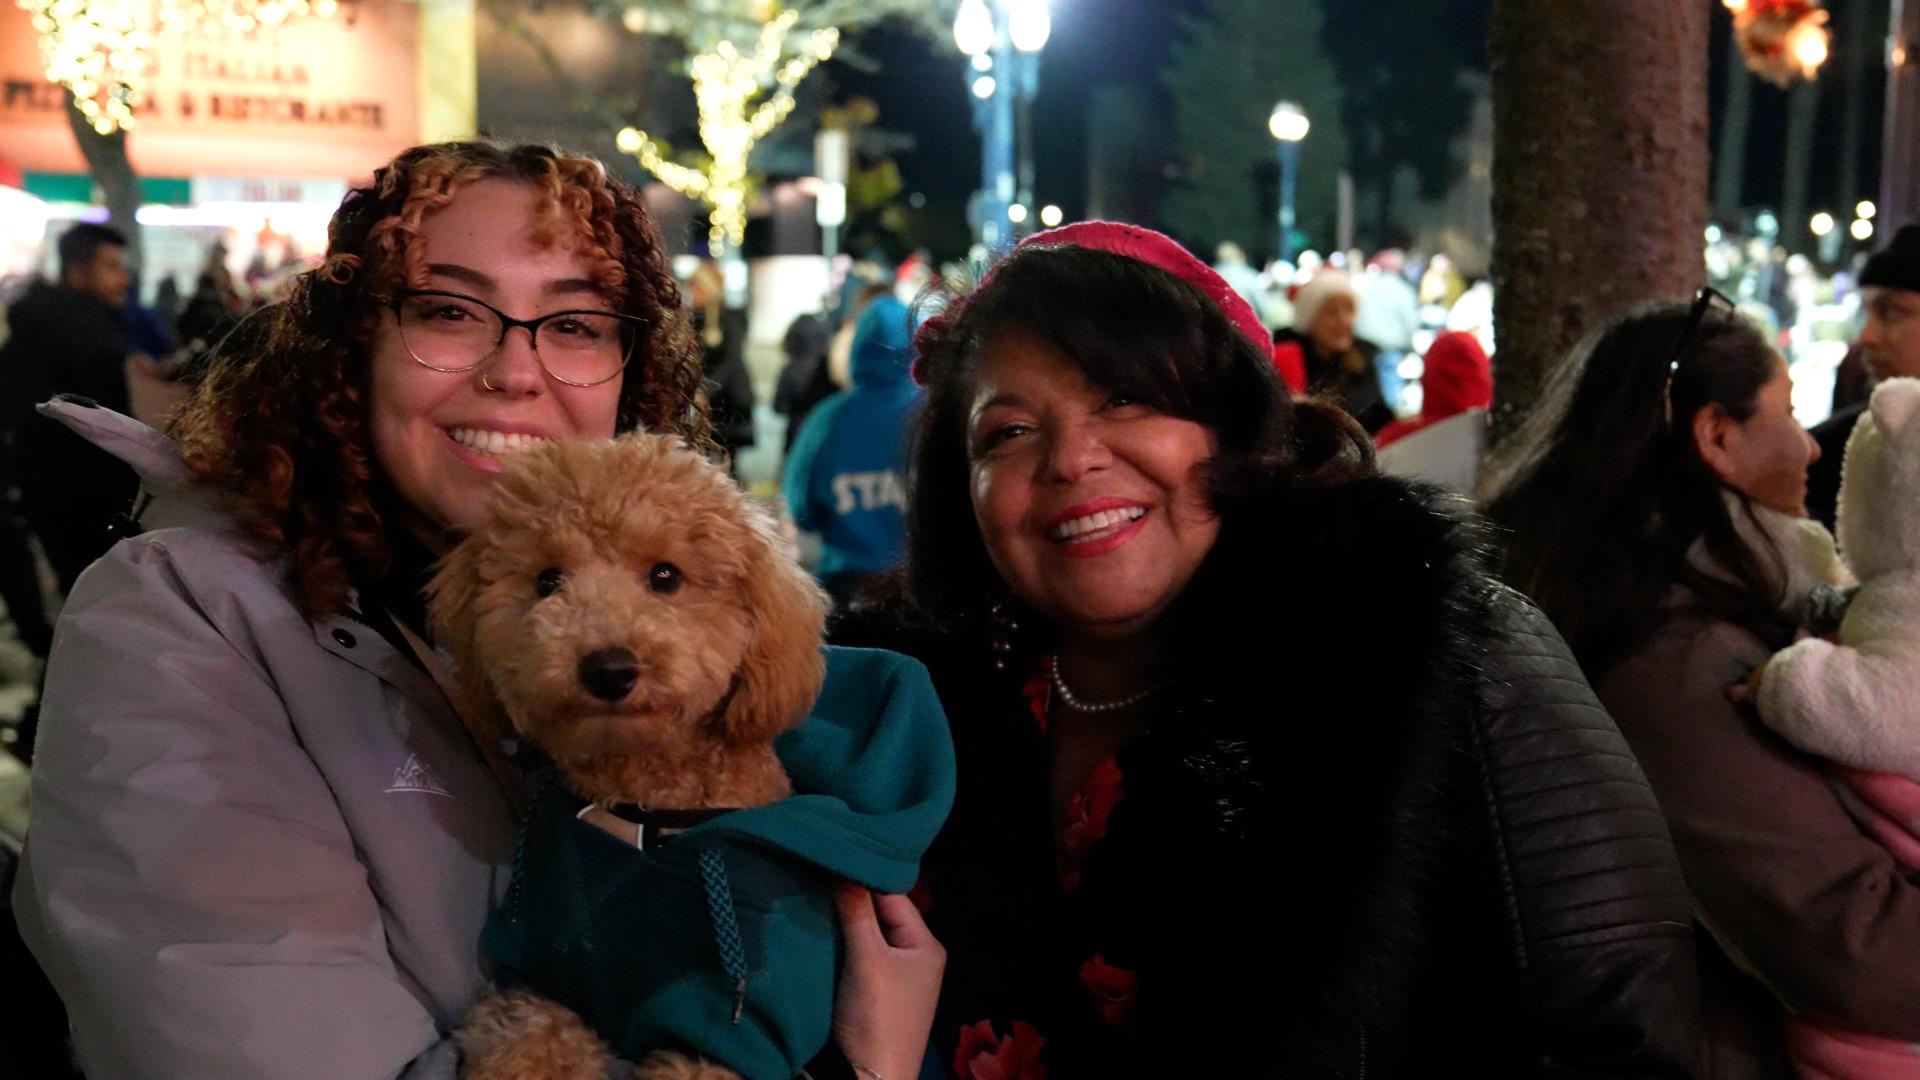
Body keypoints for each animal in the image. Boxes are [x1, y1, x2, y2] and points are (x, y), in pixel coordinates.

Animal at [432, 430, 829, 1076]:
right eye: (547, 581)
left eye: (665, 576)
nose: (609, 669)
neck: (642, 806)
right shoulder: (543, 979)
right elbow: (528, 1041)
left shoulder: (743, 1032)